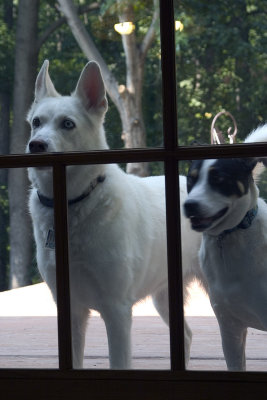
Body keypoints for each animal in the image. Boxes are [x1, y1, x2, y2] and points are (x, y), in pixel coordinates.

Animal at [27, 61, 202, 370]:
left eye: (68, 124)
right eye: (36, 122)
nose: (36, 145)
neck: (75, 203)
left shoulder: (117, 311)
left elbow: (119, 363)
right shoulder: (71, 311)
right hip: (165, 295)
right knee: (186, 335)